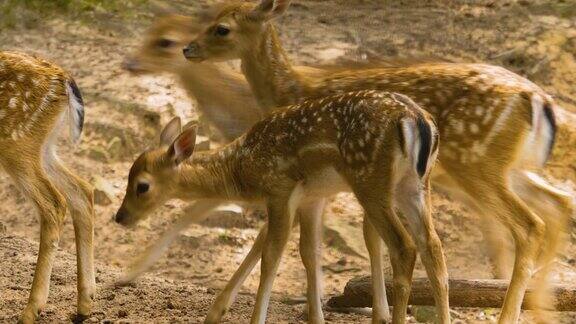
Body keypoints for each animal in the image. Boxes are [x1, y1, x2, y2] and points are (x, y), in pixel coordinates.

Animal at [0, 52, 94, 322]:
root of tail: (64, 79)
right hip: (43, 146)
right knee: (82, 191)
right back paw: (84, 305)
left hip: (16, 141)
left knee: (54, 203)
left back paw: (31, 310)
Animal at [116, 90, 450, 324]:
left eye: (142, 185)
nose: (120, 216)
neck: (243, 167)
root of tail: (417, 121)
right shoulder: (310, 198)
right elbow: (307, 253)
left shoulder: (278, 188)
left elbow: (271, 256)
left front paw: (252, 318)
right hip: (415, 186)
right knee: (432, 246)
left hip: (371, 181)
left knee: (404, 246)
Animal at [186, 1, 576, 322]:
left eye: (221, 28)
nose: (189, 48)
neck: (290, 91)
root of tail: (539, 98)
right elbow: (365, 239)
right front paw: (380, 310)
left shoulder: (308, 178)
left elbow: (274, 238)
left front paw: (217, 310)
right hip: (504, 169)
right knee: (557, 204)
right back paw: (541, 306)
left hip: (476, 165)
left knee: (529, 224)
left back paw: (510, 313)